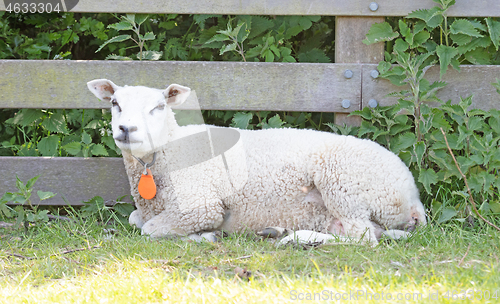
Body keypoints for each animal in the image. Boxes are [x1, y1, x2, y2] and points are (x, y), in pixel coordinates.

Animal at [87, 79, 426, 245]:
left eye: (158, 107)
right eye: (115, 103)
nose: (126, 129)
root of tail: (413, 196)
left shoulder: (200, 205)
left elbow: (148, 229)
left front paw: (207, 235)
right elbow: (136, 220)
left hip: (344, 185)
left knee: (364, 239)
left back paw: (298, 239)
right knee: (373, 234)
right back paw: (280, 232)